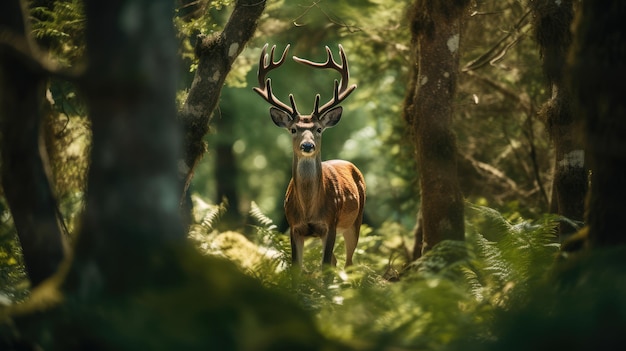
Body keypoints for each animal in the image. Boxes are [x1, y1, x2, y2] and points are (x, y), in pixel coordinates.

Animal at [254, 44, 366, 270]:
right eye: (293, 129)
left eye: (319, 129)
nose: (307, 145)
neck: (308, 209)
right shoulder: (294, 227)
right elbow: (297, 267)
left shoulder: (330, 224)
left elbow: (325, 267)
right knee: (337, 260)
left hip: (355, 220)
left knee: (348, 262)